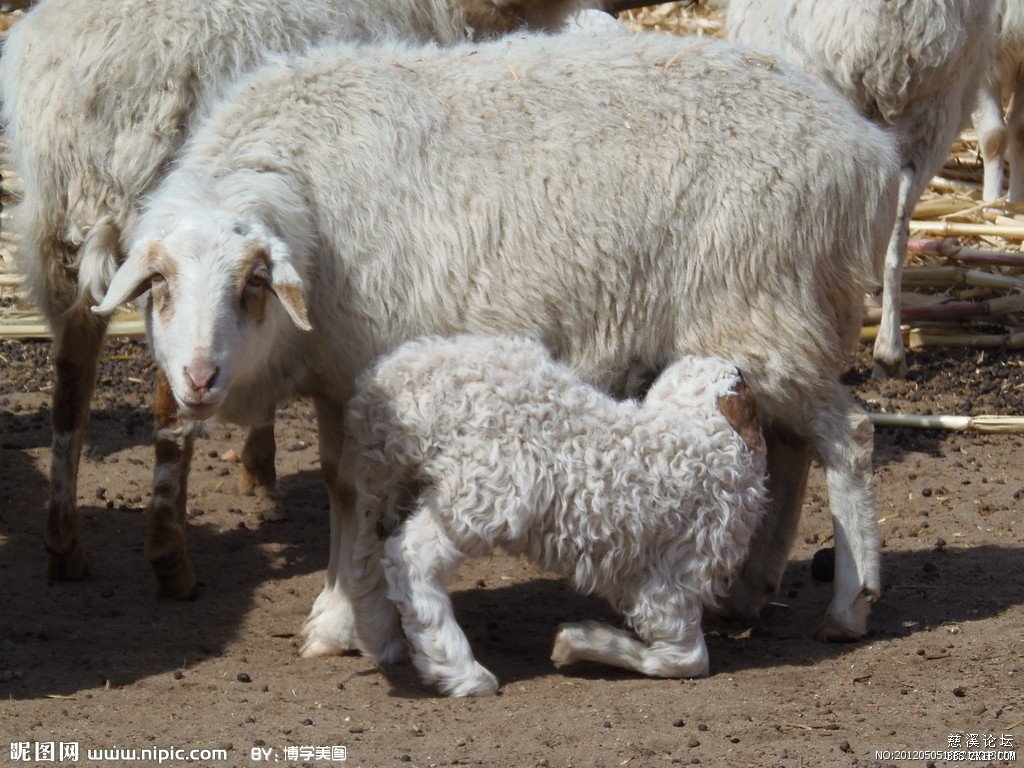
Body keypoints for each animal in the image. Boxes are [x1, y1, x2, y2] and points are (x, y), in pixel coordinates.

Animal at [0, 0, 589, 598]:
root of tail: (86, 89)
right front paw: (259, 466)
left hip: (58, 236)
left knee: (72, 382)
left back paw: (64, 542)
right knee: (172, 395)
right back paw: (170, 558)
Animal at [92, 31, 897, 655]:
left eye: (253, 284)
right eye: (160, 286)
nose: (198, 378)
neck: (302, 198)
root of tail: (864, 147)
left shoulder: (363, 372)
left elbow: (350, 490)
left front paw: (340, 617)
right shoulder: (339, 374)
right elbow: (335, 483)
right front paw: (341, 607)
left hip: (764, 304)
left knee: (849, 438)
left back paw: (849, 606)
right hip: (772, 321)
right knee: (789, 446)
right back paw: (749, 593)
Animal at [346, 335, 770, 696]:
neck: (703, 436)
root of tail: (405, 380)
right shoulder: (672, 584)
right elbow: (686, 659)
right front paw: (577, 642)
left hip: (382, 478)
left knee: (367, 554)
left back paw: (379, 639)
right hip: (484, 495)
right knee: (411, 557)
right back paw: (459, 672)